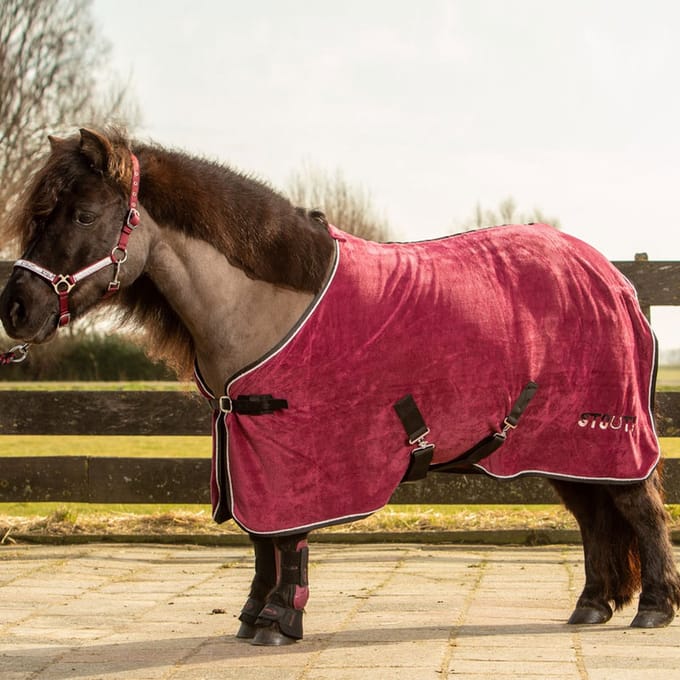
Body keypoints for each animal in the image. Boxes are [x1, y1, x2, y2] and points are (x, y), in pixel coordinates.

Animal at [1, 128, 679, 646]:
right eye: (39, 216)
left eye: (84, 214)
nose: (16, 308)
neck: (263, 300)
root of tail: (615, 278)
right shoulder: (246, 440)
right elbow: (261, 538)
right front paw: (254, 616)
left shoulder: (295, 448)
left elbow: (286, 537)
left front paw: (278, 621)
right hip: (562, 445)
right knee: (595, 517)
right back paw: (591, 605)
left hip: (607, 436)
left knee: (639, 509)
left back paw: (653, 608)